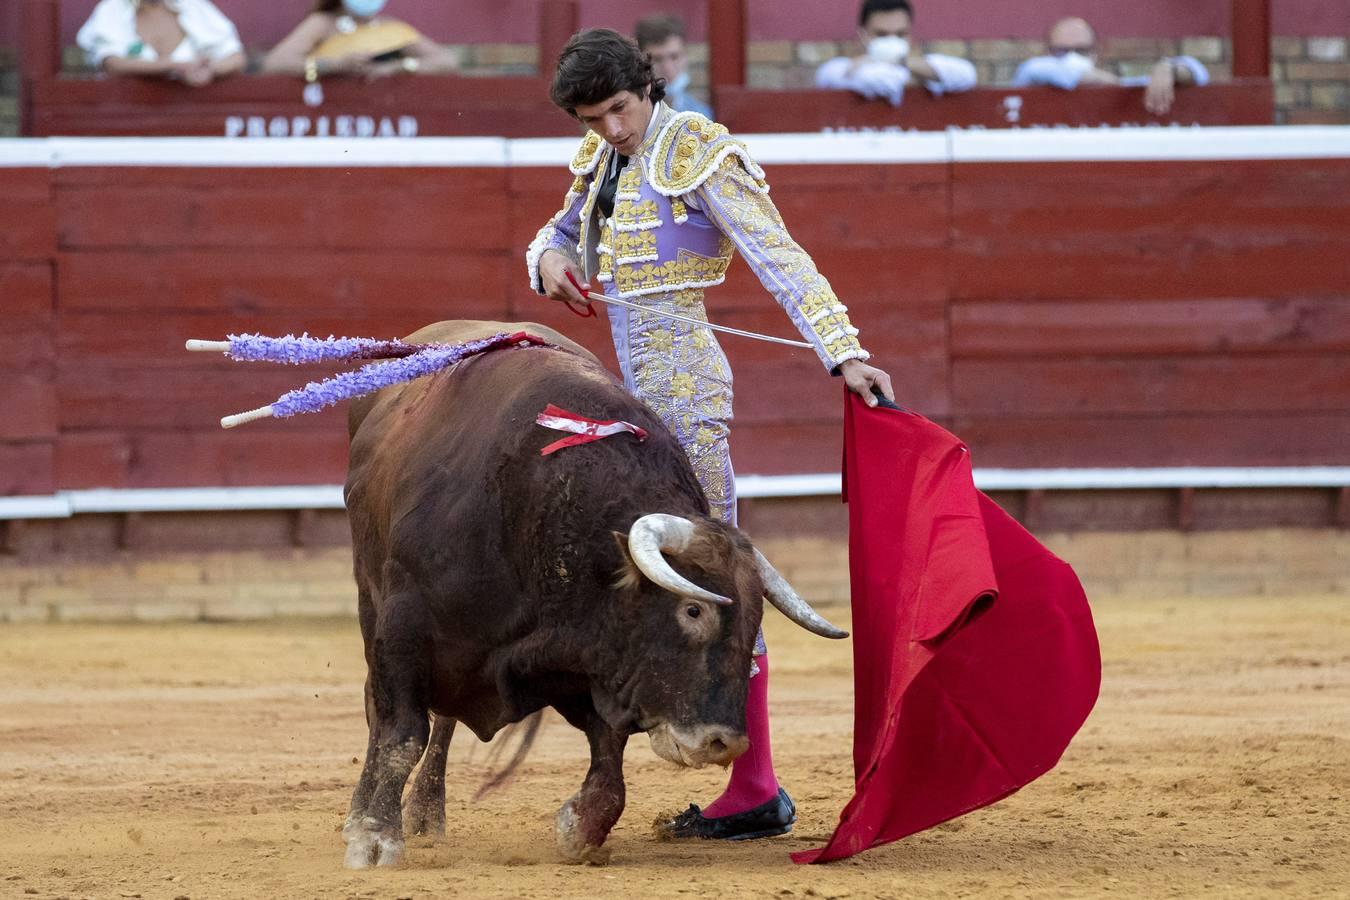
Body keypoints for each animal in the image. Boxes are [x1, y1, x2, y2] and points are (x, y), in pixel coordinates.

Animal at [337, 322, 842, 863]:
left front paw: (579, 827)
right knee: (388, 712)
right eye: (692, 610)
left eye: (754, 622)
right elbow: (401, 734)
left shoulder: (591, 658)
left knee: (446, 720)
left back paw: (427, 812)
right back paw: (367, 815)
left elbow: (610, 747)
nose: (722, 743)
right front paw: (373, 836)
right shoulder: (404, 629)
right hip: (371, 601)